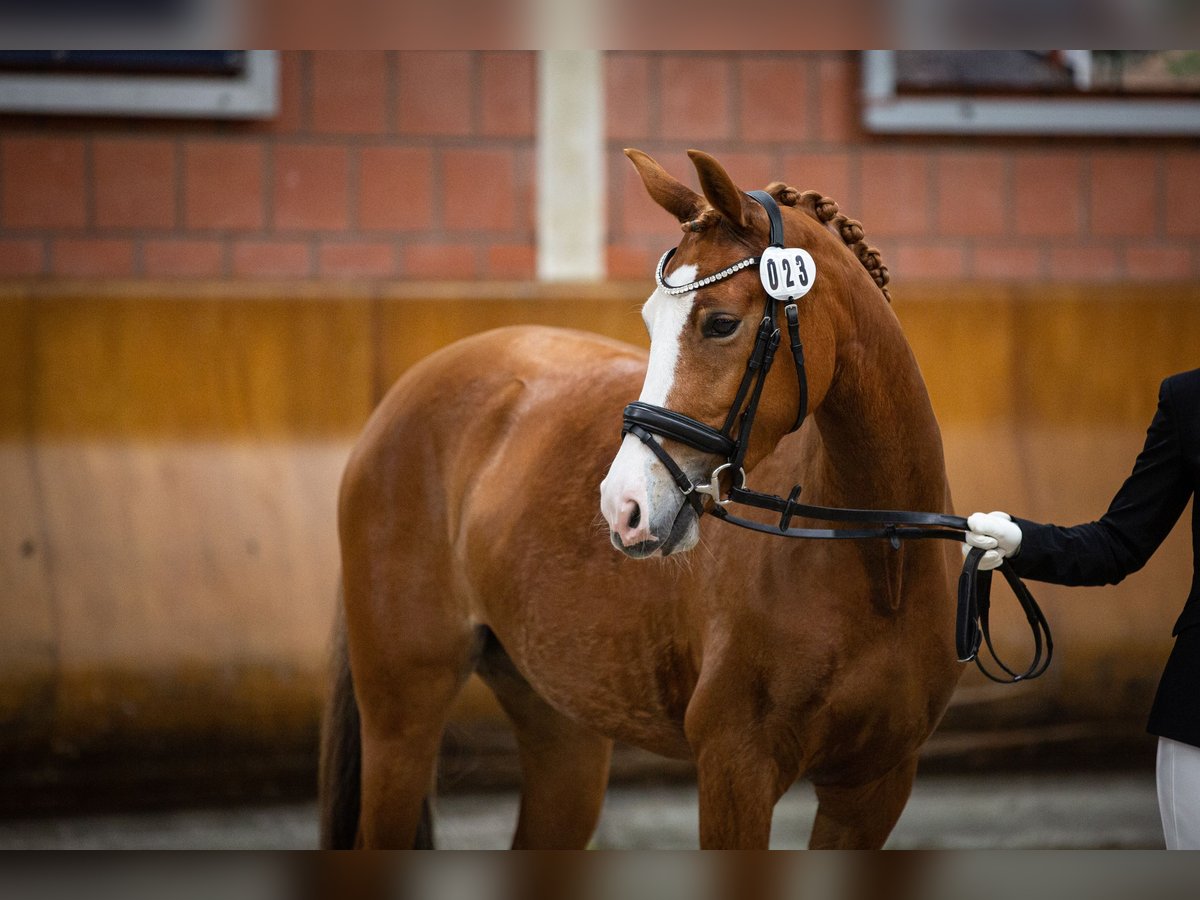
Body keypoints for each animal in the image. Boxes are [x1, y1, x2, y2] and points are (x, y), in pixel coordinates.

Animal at [316, 150, 955, 854]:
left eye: (721, 322)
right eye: (650, 321)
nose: (622, 506)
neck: (882, 561)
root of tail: (409, 391)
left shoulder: (873, 788)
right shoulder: (736, 766)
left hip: (562, 727)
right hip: (402, 717)